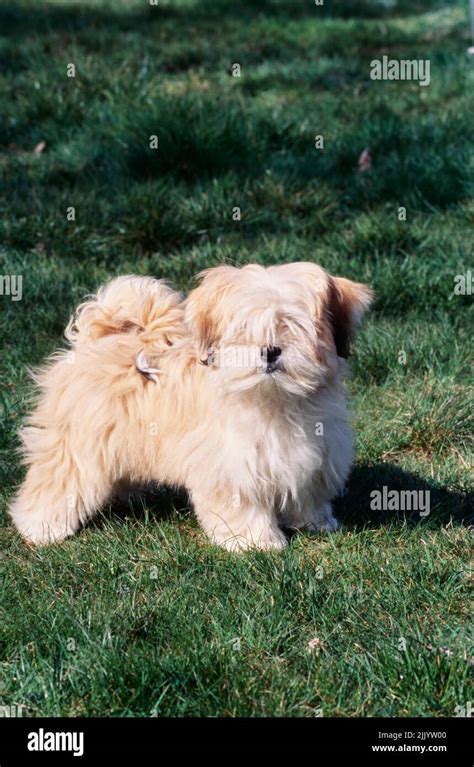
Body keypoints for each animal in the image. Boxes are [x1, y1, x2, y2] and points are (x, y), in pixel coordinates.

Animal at [7, 264, 372, 552]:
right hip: (76, 445)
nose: (270, 350)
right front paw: (255, 541)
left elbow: (306, 492)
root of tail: (100, 339)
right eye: (244, 329)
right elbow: (241, 502)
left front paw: (317, 522)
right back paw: (40, 526)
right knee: (58, 479)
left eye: (293, 325)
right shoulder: (230, 463)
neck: (274, 399)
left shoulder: (318, 450)